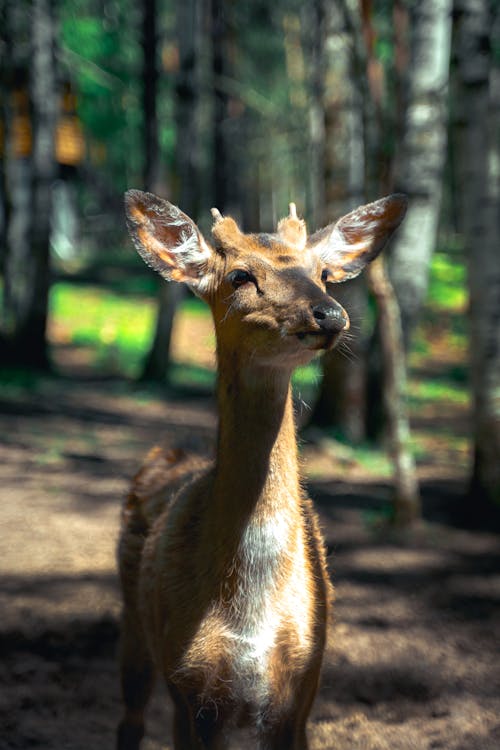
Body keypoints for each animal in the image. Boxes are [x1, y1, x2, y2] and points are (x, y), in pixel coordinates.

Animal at [116, 189, 406, 750]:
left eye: (323, 273)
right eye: (239, 276)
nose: (329, 313)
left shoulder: (303, 689)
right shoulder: (194, 688)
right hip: (135, 623)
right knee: (130, 718)